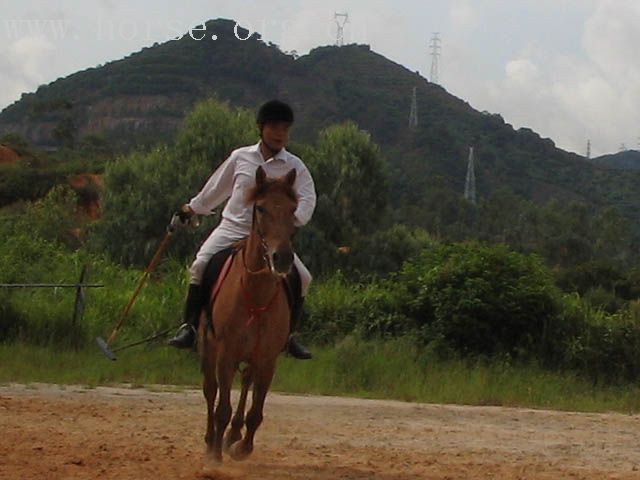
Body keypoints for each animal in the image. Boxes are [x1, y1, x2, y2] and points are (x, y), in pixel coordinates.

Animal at [199, 166, 298, 468]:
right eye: (261, 208)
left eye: (293, 209)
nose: (282, 259)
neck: (257, 294)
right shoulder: (226, 352)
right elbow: (221, 406)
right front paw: (215, 456)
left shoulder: (267, 359)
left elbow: (256, 410)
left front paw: (242, 447)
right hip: (209, 348)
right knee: (210, 390)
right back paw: (211, 441)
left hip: (251, 357)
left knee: (245, 384)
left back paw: (233, 435)